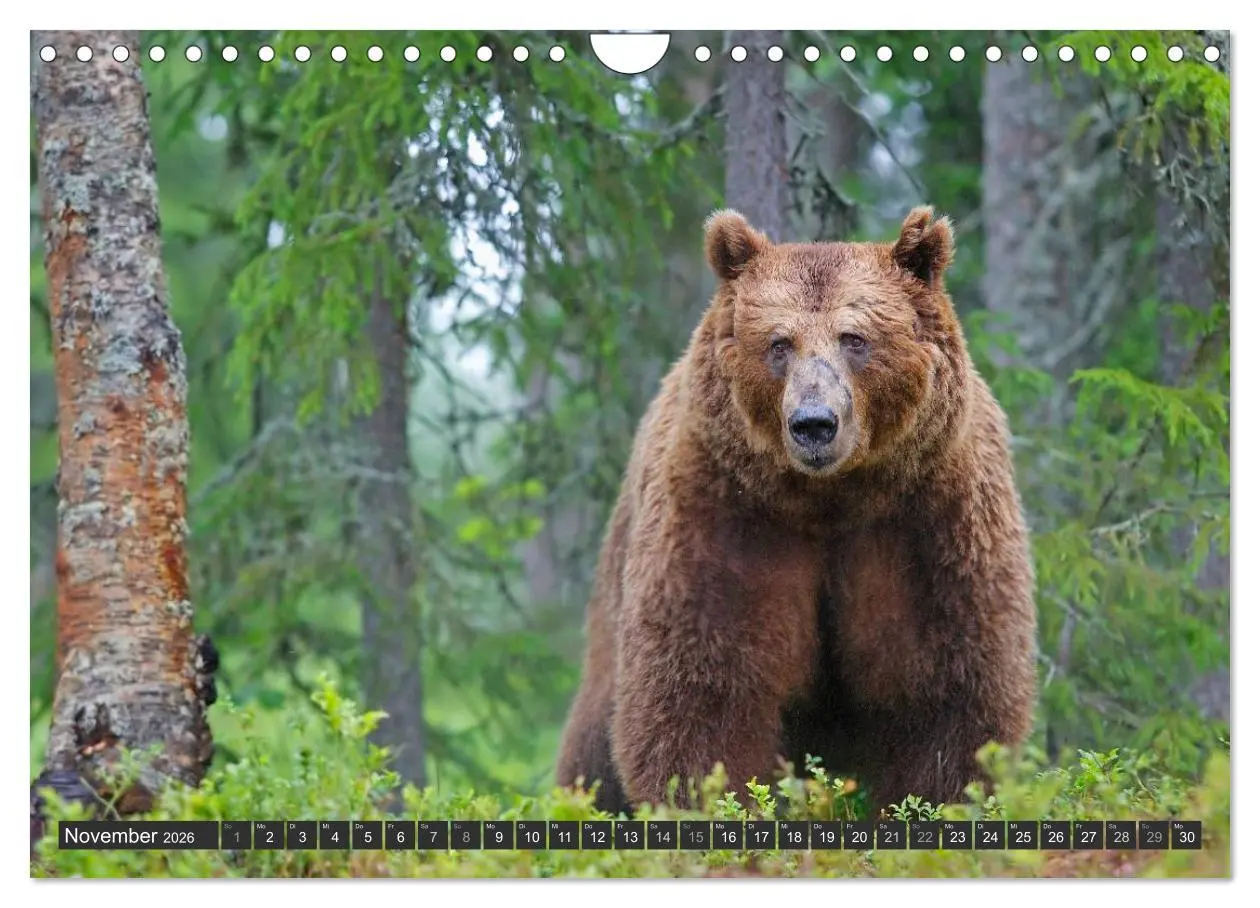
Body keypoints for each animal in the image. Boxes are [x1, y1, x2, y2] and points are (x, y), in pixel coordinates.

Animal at [555, 206, 1038, 816]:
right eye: (779, 343)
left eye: (855, 339)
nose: (814, 423)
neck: (830, 498)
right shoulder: (728, 515)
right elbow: (705, 689)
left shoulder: (932, 520)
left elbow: (946, 689)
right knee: (594, 747)